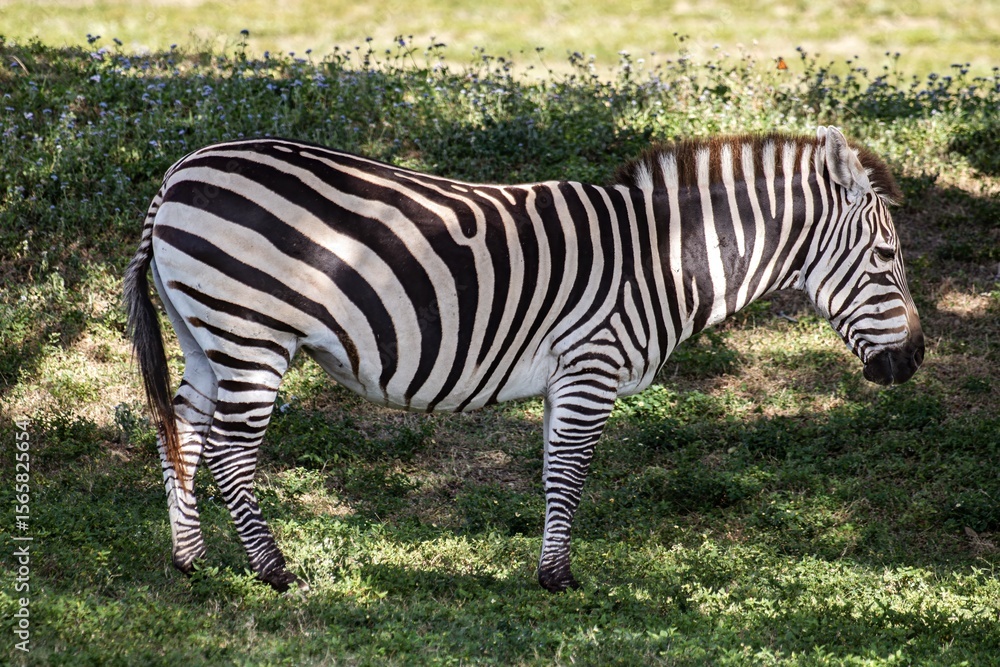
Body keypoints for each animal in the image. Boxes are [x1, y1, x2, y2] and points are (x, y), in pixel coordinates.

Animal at [124, 126, 924, 593]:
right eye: (887, 260)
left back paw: (191, 559)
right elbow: (570, 473)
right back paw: (273, 570)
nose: (913, 362)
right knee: (228, 450)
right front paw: (558, 578)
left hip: (205, 332)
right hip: (252, 330)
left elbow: (550, 472)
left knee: (181, 427)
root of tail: (176, 174)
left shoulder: (566, 377)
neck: (664, 257)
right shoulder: (592, 364)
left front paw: (547, 565)